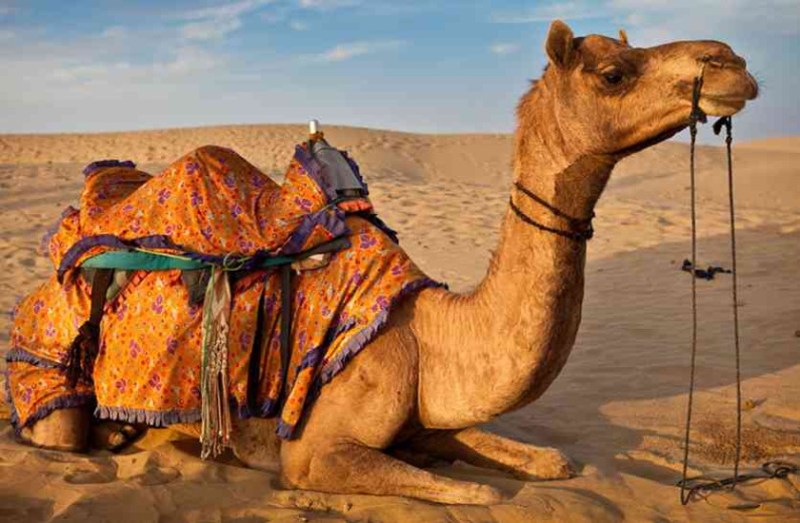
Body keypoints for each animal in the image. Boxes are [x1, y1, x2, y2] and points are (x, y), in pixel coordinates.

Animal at [23, 20, 758, 505]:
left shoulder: (429, 420)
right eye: (613, 74)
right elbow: (483, 495)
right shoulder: (314, 452)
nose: (731, 60)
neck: (431, 336)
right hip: (54, 385)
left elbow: (549, 460)